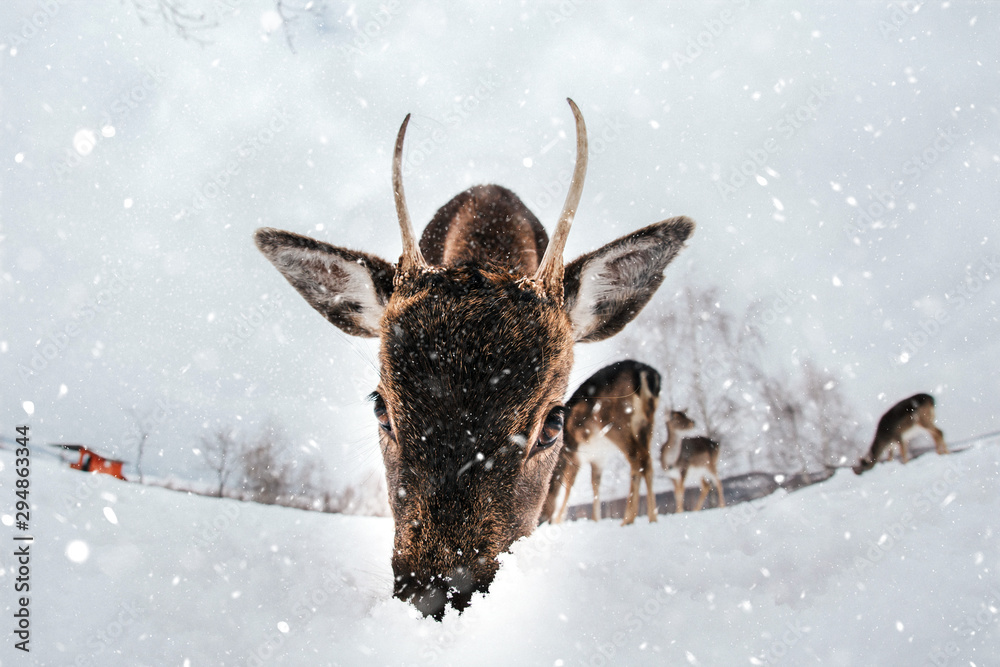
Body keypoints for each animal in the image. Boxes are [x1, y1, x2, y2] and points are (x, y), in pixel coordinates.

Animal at [542, 360, 662, 526]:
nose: (541, 520)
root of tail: (644, 373)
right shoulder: (598, 458)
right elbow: (595, 484)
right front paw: (595, 519)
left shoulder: (573, 454)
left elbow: (569, 485)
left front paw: (559, 520)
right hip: (646, 424)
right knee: (646, 461)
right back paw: (645, 518)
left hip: (617, 424)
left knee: (638, 460)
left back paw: (634, 519)